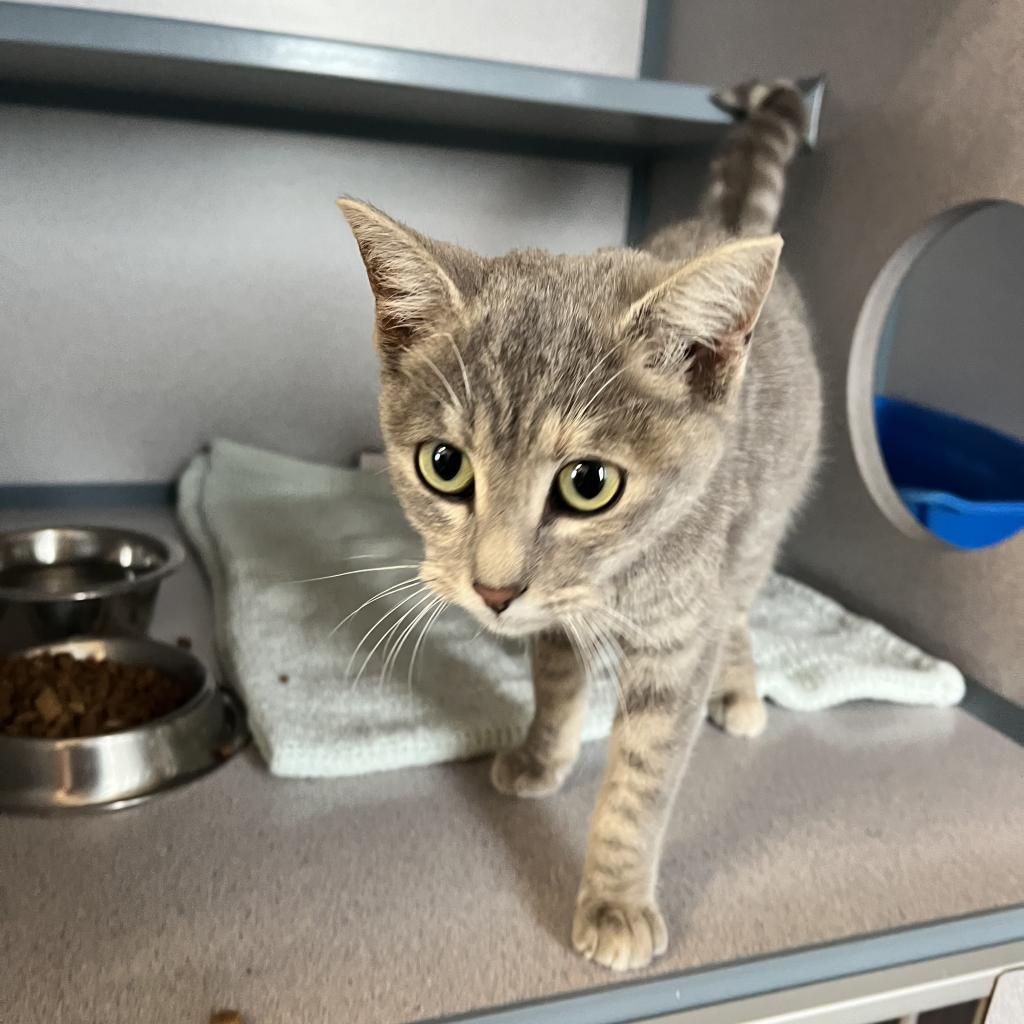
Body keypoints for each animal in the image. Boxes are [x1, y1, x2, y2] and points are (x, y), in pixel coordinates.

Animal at [339, 79, 819, 966]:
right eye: (444, 464)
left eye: (588, 483)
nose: (492, 591)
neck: (615, 580)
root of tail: (721, 227)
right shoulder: (552, 617)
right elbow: (557, 684)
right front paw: (542, 753)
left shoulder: (678, 638)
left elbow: (642, 778)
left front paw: (617, 898)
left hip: (763, 521)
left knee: (738, 603)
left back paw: (739, 686)